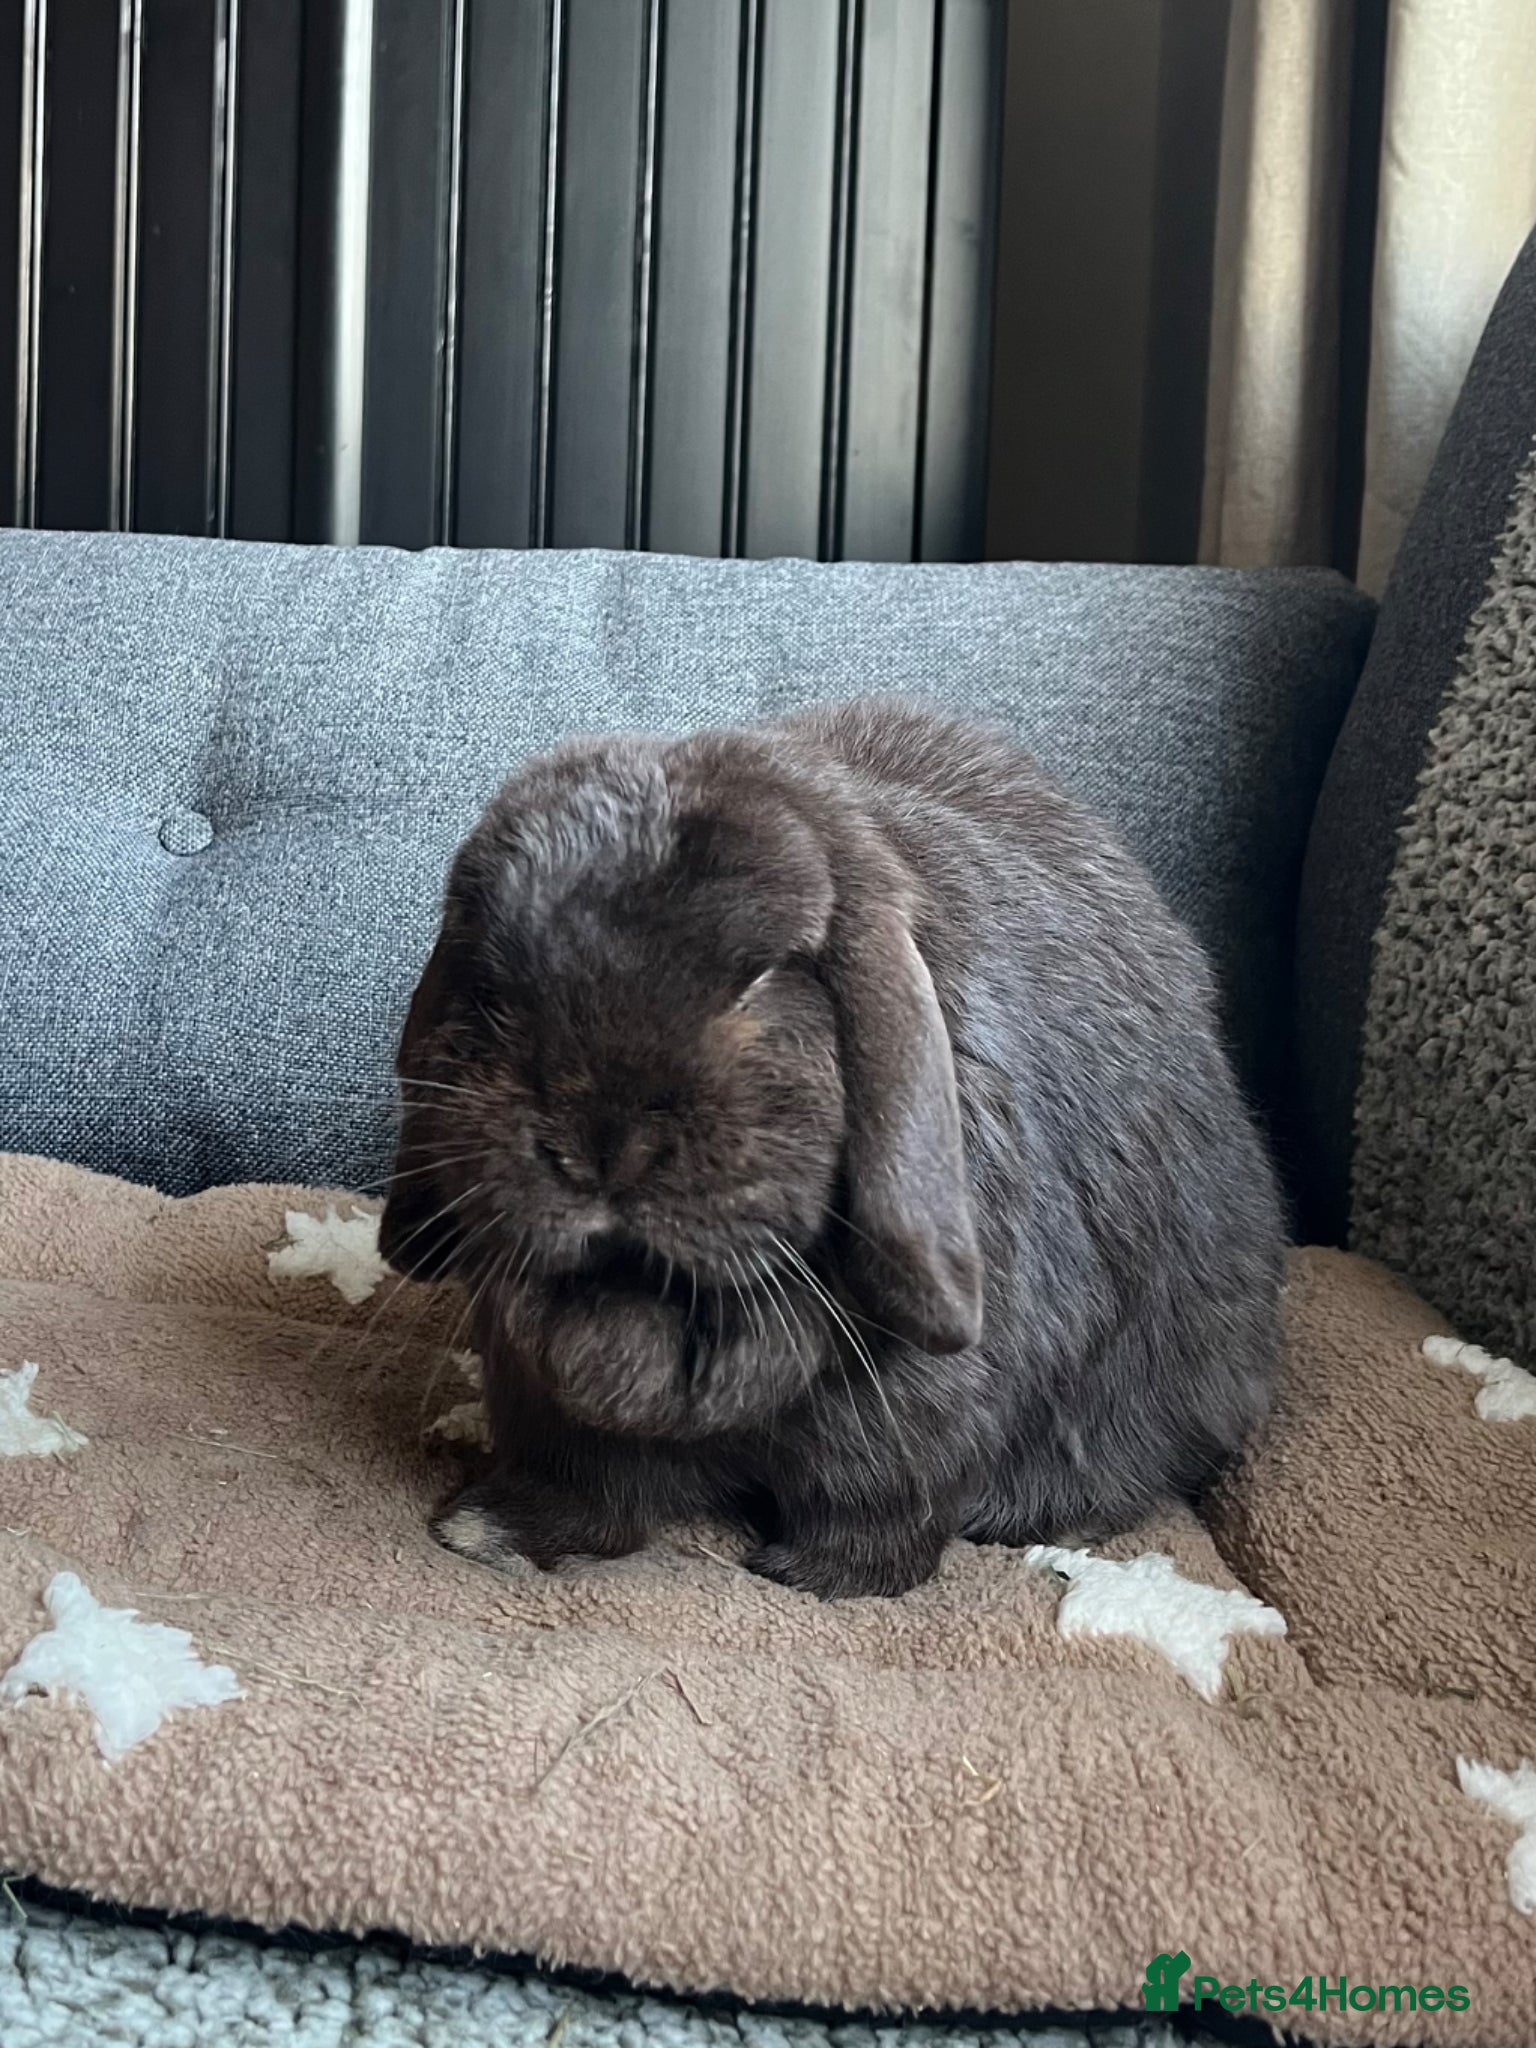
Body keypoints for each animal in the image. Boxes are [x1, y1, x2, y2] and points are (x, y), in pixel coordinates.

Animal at [379, 698, 1285, 1599]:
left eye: (764, 977)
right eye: (495, 991)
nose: (605, 1147)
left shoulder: (912, 1411)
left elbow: (876, 1507)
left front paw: (824, 1579)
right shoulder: (548, 1403)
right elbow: (580, 1485)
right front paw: (487, 1533)